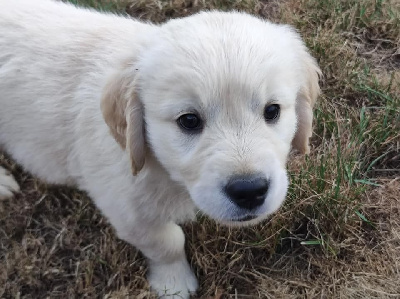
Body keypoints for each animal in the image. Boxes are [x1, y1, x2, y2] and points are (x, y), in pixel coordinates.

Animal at [0, 1, 320, 298]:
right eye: (189, 121)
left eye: (272, 111)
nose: (250, 191)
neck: (164, 172)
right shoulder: (125, 207)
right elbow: (167, 242)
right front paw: (174, 284)